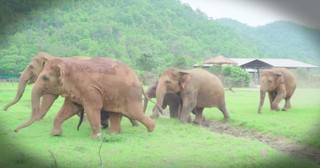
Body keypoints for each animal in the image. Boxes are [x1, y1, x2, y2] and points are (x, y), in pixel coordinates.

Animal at [19, 57, 155, 138]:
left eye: (45, 78)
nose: (16, 130)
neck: (67, 62)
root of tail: (138, 79)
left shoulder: (90, 89)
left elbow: (92, 108)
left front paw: (95, 137)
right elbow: (69, 108)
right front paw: (55, 134)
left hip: (130, 95)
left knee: (134, 112)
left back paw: (151, 129)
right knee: (115, 113)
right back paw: (112, 134)